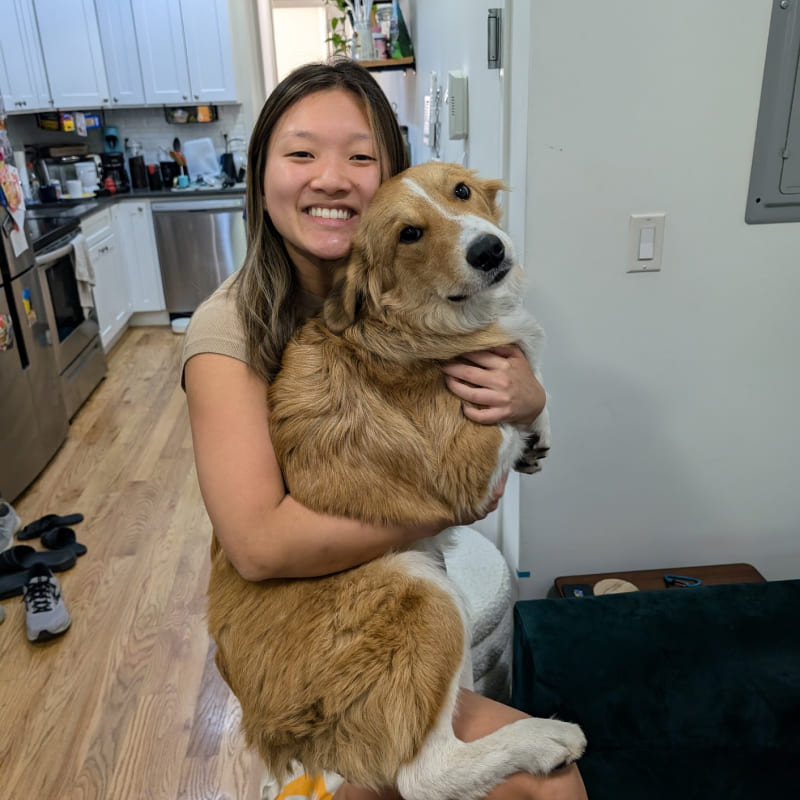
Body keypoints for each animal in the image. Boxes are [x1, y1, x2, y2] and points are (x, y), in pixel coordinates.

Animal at [206, 162, 584, 800]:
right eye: (409, 234)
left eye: (460, 191)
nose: (488, 249)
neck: (425, 323)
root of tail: (271, 734)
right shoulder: (465, 470)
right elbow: (523, 384)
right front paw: (529, 413)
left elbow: (537, 391)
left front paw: (540, 434)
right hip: (418, 589)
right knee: (421, 776)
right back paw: (541, 739)